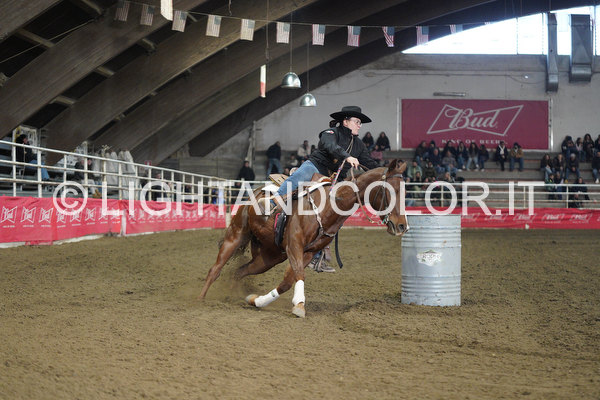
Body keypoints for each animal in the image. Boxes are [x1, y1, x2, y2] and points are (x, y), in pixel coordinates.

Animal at [198, 159, 409, 317]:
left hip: (268, 258)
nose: (402, 226)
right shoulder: (294, 245)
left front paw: (257, 300)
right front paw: (299, 305)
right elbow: (299, 275)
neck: (329, 205)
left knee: (239, 272)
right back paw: (200, 299)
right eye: (390, 191)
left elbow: (287, 281)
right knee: (215, 269)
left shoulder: (308, 252)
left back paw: (231, 295)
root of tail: (256, 192)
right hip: (236, 235)